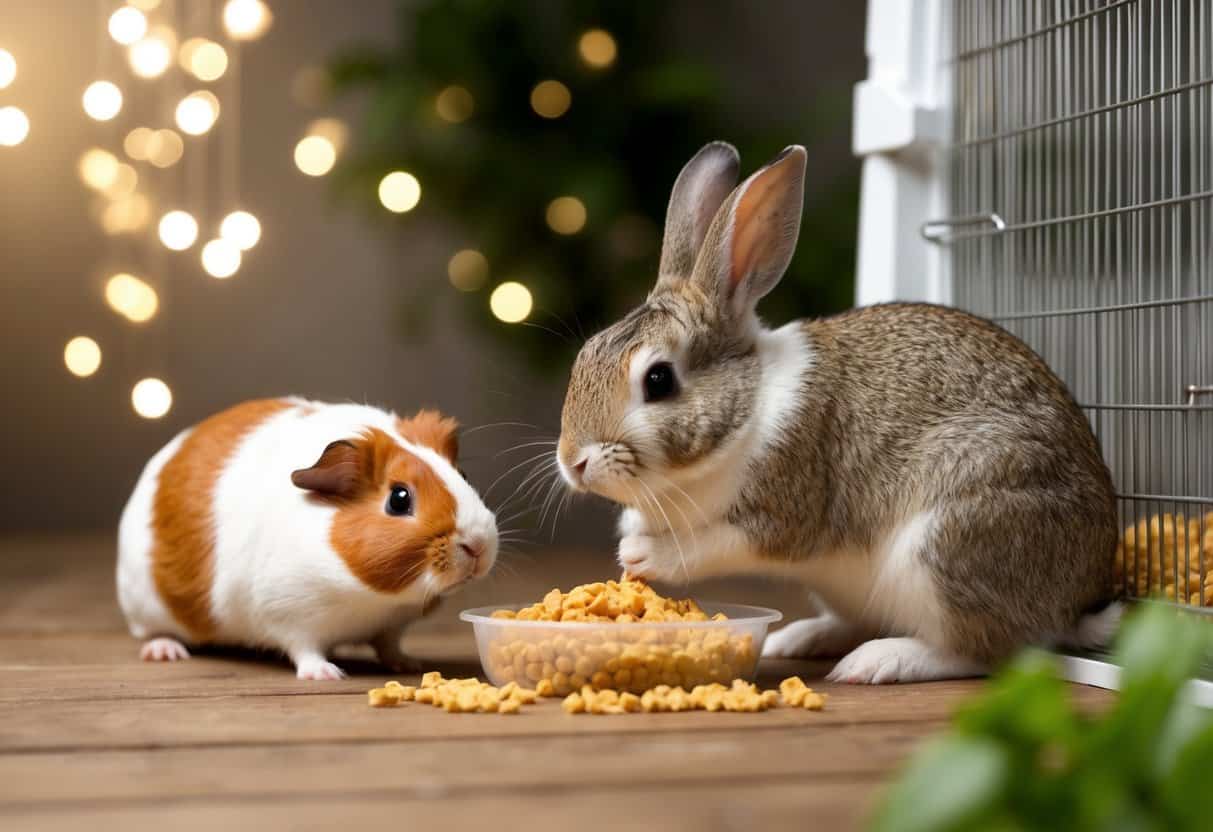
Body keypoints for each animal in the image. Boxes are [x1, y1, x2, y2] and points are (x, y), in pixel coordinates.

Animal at [117, 397, 498, 680]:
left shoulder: (391, 624)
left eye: (463, 475)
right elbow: (305, 650)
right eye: (399, 499)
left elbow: (389, 645)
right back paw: (166, 652)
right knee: (151, 634)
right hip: (148, 609)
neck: (371, 598)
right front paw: (328, 674)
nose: (478, 545)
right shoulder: (289, 615)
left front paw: (409, 664)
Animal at [555, 141, 1120, 684]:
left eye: (658, 380)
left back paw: (880, 662)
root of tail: (1072, 604)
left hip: (946, 546)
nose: (573, 462)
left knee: (990, 651)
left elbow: (719, 543)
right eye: (586, 353)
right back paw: (800, 638)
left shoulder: (786, 508)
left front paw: (640, 554)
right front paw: (630, 531)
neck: (747, 410)